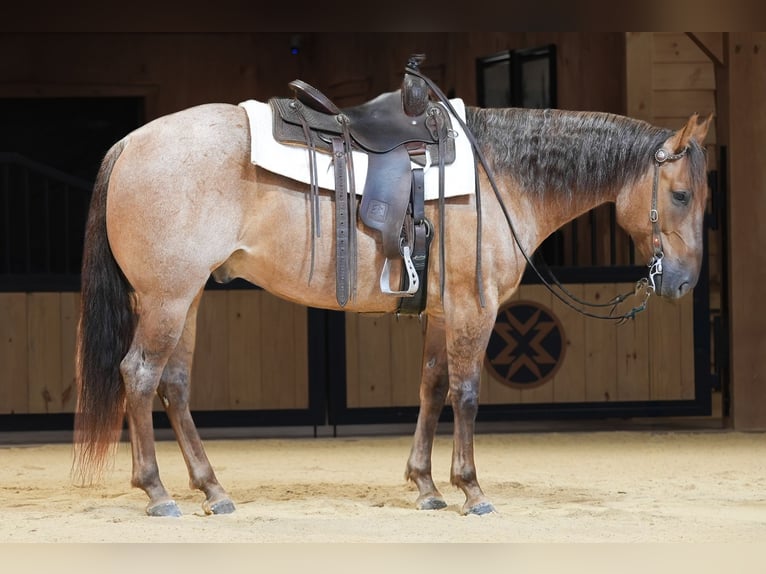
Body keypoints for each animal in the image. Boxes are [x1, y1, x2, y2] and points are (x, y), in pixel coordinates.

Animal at [72, 88, 712, 517]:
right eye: (681, 195)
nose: (682, 283)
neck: (501, 176)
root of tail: (131, 142)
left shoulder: (442, 312)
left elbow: (431, 387)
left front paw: (425, 485)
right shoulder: (475, 308)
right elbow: (466, 393)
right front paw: (471, 489)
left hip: (187, 300)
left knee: (174, 385)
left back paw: (212, 489)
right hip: (167, 299)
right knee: (140, 375)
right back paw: (157, 493)